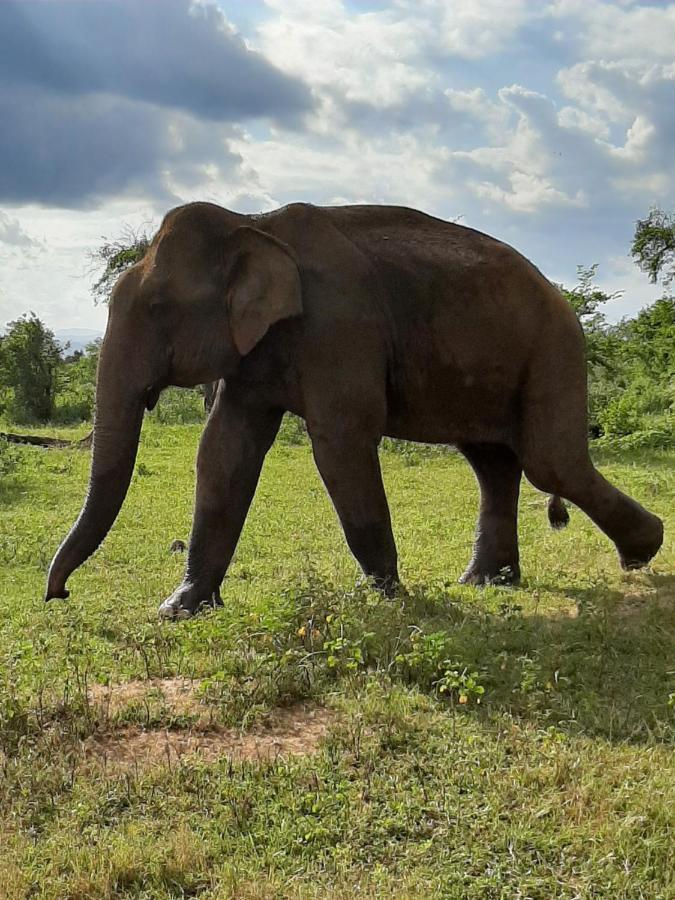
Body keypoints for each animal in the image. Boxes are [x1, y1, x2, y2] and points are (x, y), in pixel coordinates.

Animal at [46, 200, 664, 616]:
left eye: (156, 308)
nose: (60, 595)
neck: (253, 221)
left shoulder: (339, 329)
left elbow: (340, 443)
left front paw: (384, 597)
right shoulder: (257, 353)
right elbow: (224, 452)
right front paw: (180, 609)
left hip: (554, 348)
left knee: (549, 462)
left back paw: (642, 554)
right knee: (493, 463)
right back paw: (486, 583)